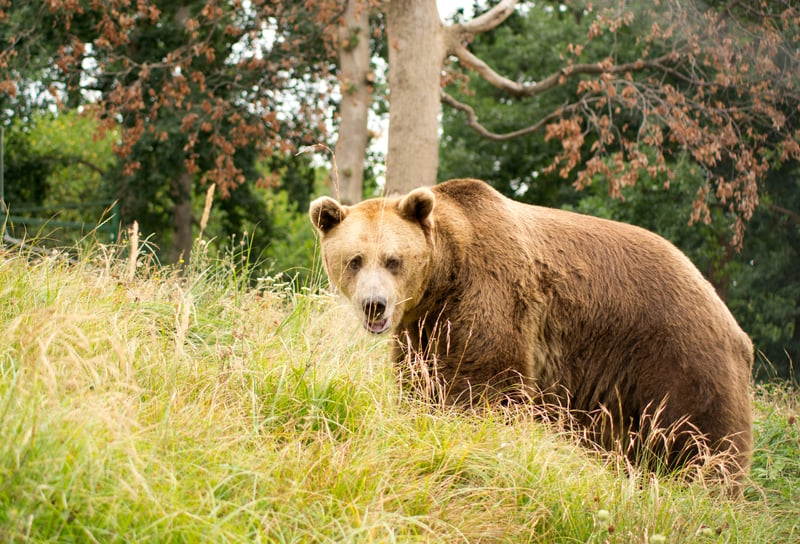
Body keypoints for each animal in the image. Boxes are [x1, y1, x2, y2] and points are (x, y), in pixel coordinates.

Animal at [310, 177, 752, 476]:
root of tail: (727, 315)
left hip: (678, 356)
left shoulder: (490, 295)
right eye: (354, 260)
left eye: (393, 260)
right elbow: (420, 380)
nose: (375, 305)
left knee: (706, 438)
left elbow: (484, 384)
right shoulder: (424, 327)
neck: (446, 275)